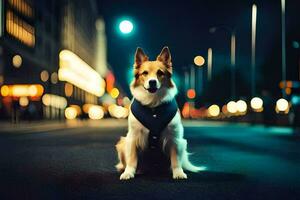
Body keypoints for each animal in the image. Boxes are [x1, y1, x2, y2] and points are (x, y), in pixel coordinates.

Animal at [114, 46, 204, 180]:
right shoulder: (133, 137)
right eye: (145, 73)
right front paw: (128, 172)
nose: (152, 82)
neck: (153, 105)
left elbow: (175, 160)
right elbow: (132, 159)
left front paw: (178, 173)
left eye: (160, 73)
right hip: (122, 142)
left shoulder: (175, 138)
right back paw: (136, 170)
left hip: (183, 143)